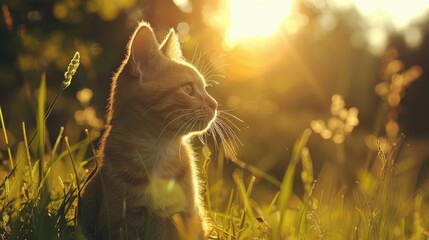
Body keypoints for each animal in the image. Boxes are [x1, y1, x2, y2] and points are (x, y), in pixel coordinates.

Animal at [77, 21, 217, 240]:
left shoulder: (187, 218)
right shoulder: (121, 222)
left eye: (205, 88)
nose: (215, 104)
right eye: (187, 89)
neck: (158, 149)